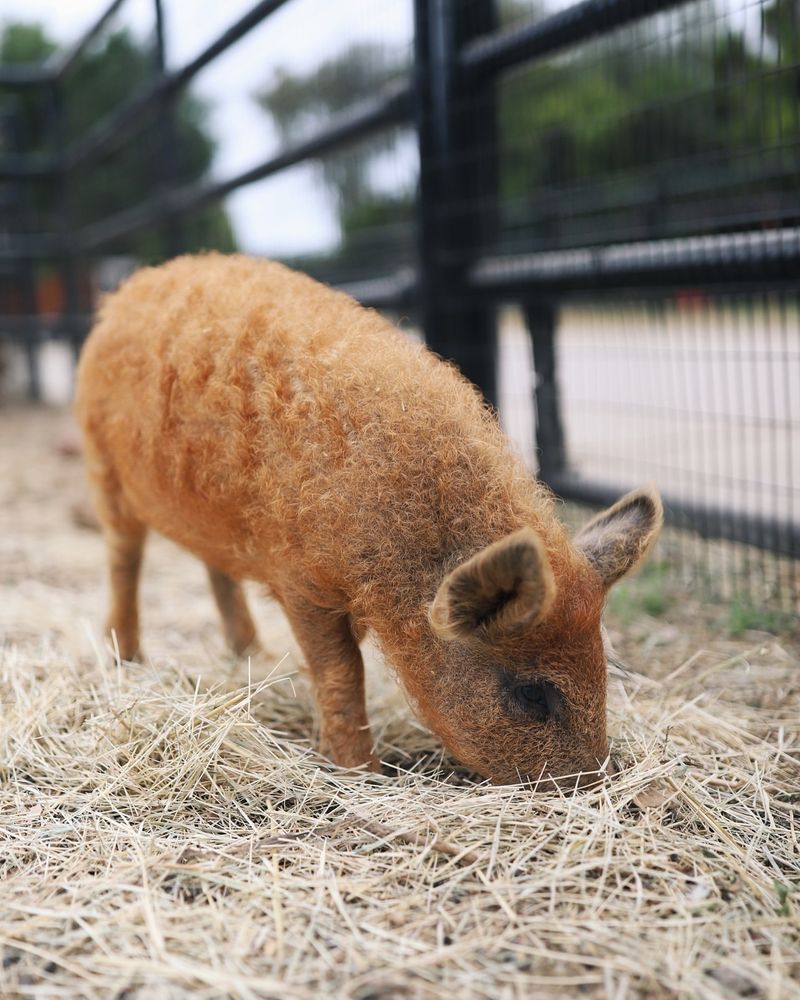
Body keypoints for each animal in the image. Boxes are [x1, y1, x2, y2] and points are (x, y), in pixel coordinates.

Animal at [75, 256, 664, 788]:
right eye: (532, 692)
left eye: (603, 667)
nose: (593, 783)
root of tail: (132, 288)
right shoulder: (301, 581)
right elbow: (341, 671)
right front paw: (362, 774)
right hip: (103, 469)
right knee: (123, 559)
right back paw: (126, 658)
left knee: (215, 569)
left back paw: (252, 656)